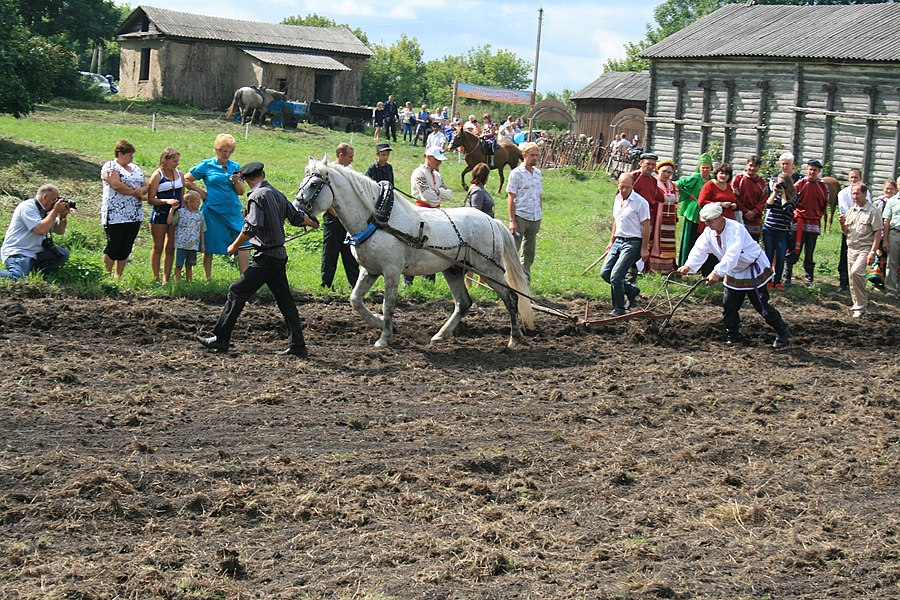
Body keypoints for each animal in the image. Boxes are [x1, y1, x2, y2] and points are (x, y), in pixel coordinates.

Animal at [296, 157, 536, 350]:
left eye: (315, 184)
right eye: (302, 183)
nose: (297, 208)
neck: (377, 218)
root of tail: (492, 221)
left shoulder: (392, 271)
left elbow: (389, 304)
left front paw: (384, 337)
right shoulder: (370, 270)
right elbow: (355, 300)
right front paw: (380, 322)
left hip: (488, 269)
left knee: (511, 298)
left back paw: (515, 338)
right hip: (454, 269)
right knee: (463, 302)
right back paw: (441, 335)